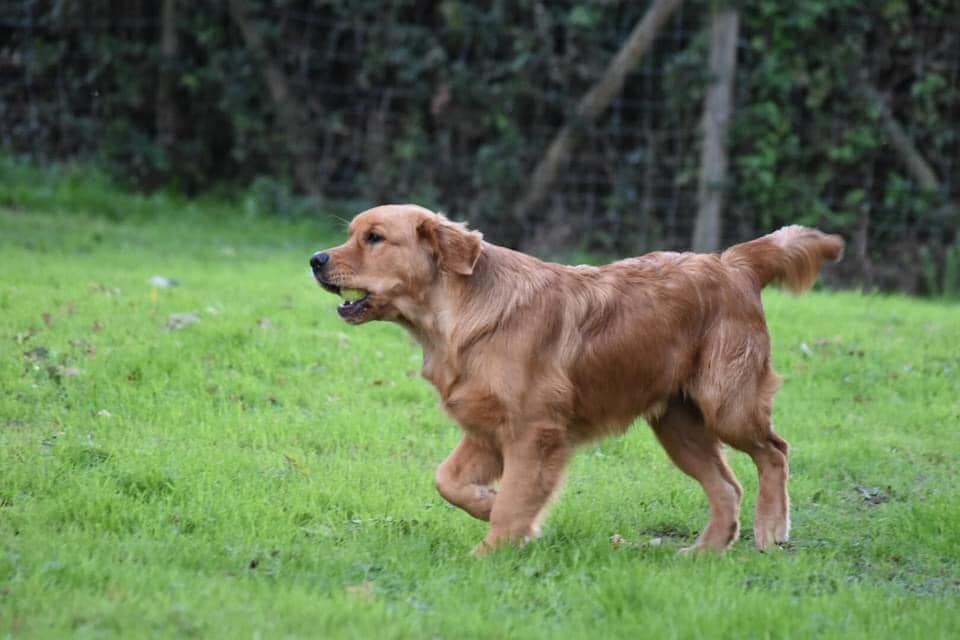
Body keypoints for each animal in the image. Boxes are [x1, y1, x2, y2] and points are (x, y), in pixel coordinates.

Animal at [310, 206, 840, 556]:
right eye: (352, 234)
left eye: (374, 238)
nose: (316, 259)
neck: (456, 316)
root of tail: (732, 262)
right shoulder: (485, 433)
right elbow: (447, 482)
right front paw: (486, 503)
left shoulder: (534, 433)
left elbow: (514, 503)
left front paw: (490, 552)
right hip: (678, 426)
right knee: (727, 486)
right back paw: (704, 551)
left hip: (726, 403)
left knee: (775, 451)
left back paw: (771, 529)